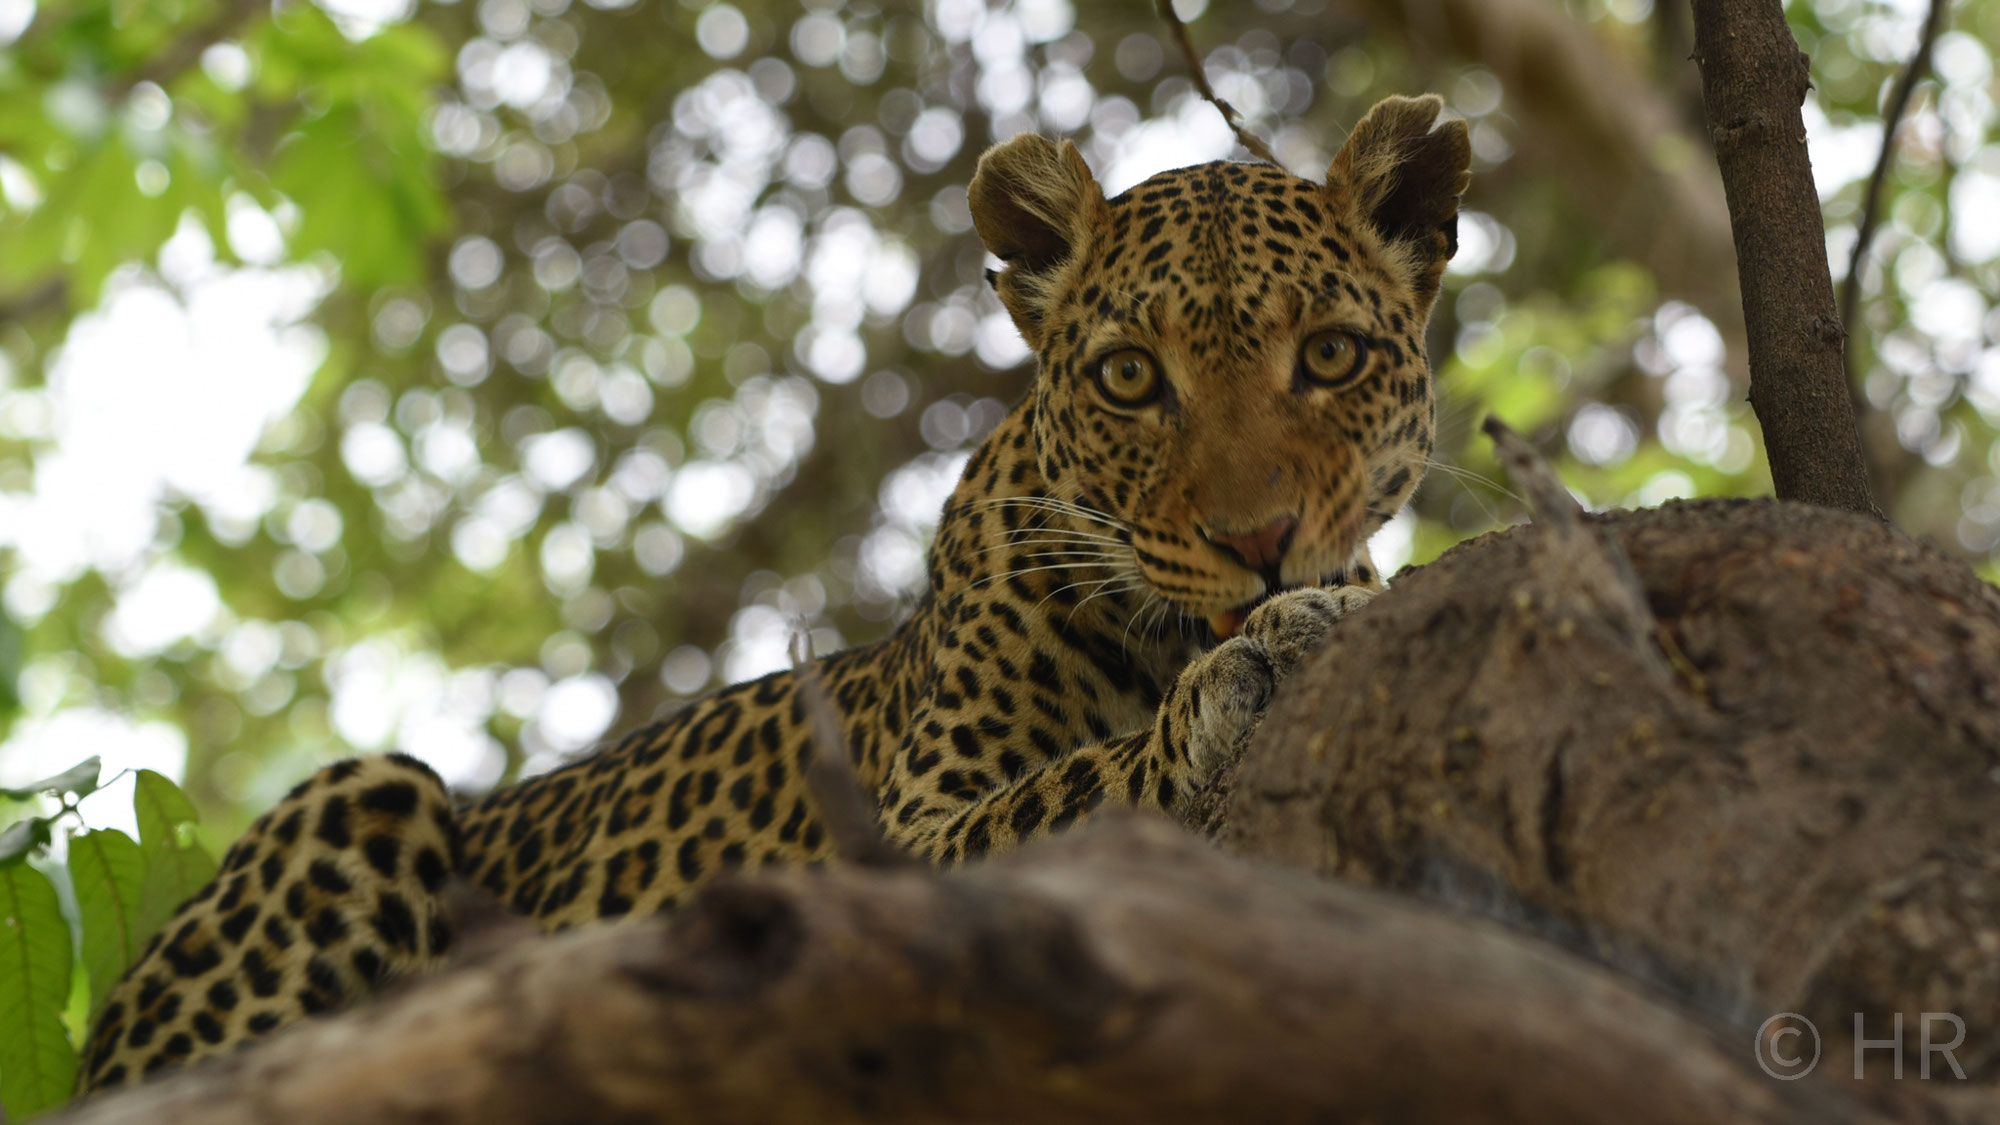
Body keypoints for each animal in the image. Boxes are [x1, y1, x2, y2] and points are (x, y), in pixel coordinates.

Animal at [78, 92, 1472, 1088]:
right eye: (1130, 378)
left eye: (1329, 355)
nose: (1260, 541)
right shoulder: (910, 842)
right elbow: (1088, 778)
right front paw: (1249, 664)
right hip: (363, 797)